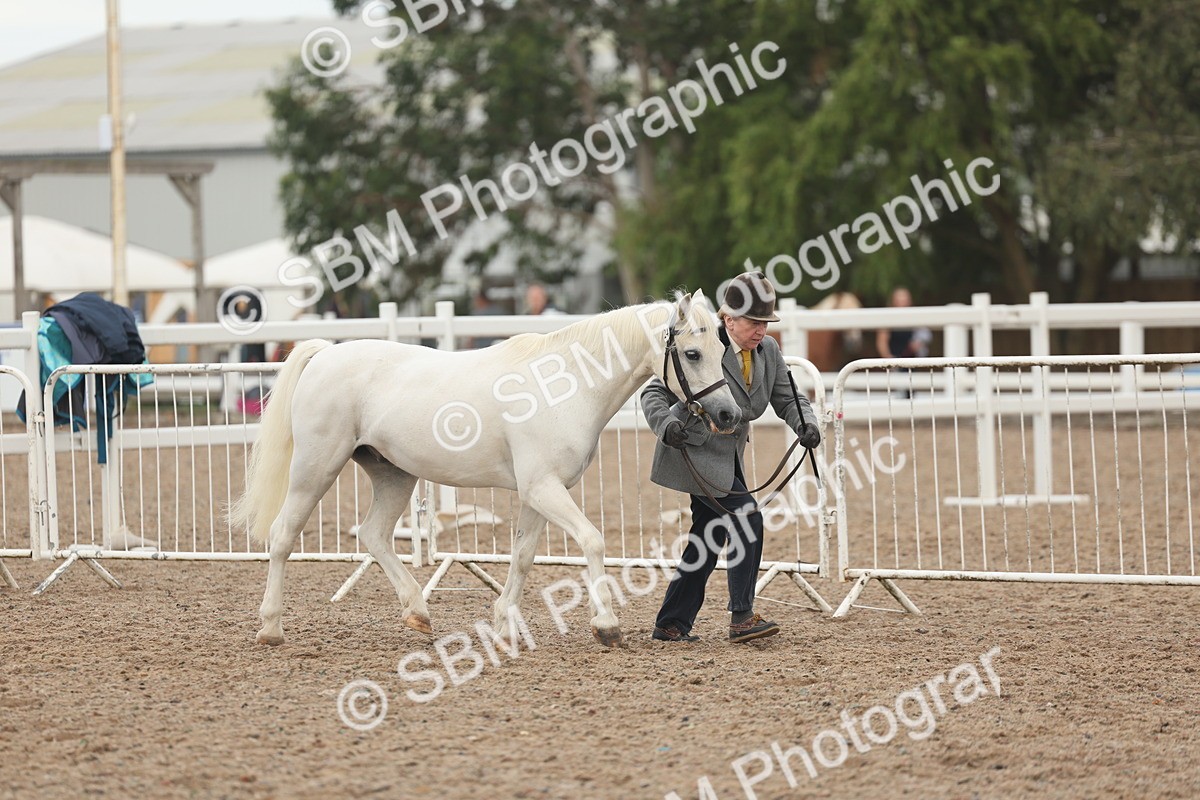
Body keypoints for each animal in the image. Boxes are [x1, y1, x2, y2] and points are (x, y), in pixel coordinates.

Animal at [230, 291, 740, 648]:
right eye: (692, 354)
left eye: (721, 348)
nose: (729, 415)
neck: (567, 384)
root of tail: (323, 353)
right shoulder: (544, 489)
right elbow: (592, 541)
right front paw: (607, 625)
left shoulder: (539, 493)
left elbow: (523, 556)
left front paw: (505, 624)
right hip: (315, 468)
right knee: (282, 536)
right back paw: (271, 628)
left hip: (393, 473)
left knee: (374, 534)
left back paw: (418, 612)